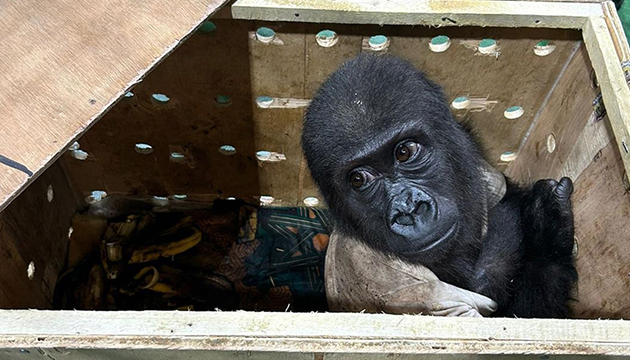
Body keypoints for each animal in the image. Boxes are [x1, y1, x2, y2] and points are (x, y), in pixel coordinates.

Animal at [304, 53, 580, 318]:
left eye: (404, 151)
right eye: (359, 179)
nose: (408, 209)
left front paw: (546, 226)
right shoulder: (394, 281)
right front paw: (547, 236)